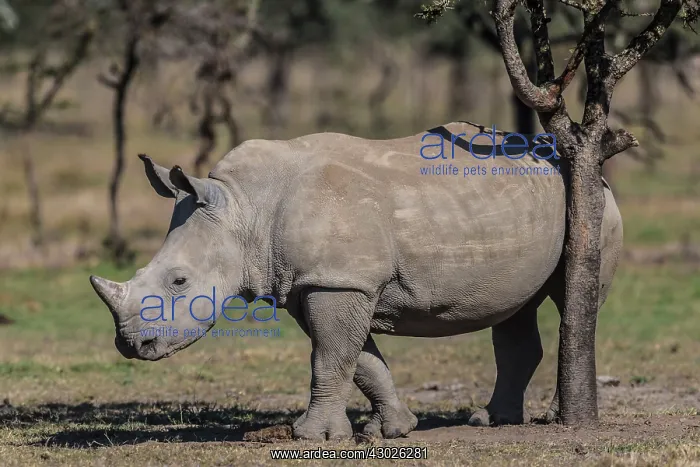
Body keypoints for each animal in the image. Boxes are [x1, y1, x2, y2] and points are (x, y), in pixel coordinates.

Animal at [90, 121, 623, 440]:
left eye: (179, 281)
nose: (131, 345)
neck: (244, 208)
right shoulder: (320, 283)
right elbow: (359, 359)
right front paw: (396, 429)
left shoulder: (338, 281)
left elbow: (329, 358)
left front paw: (312, 437)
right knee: (514, 311)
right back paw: (491, 421)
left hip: (592, 204)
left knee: (575, 300)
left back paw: (556, 418)